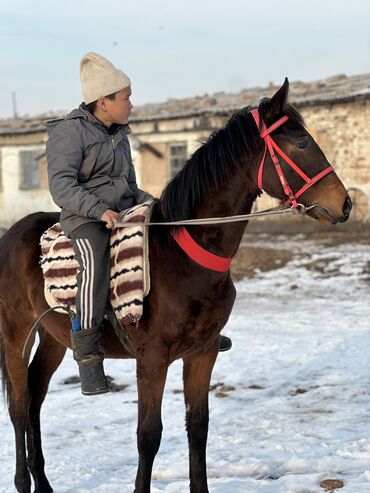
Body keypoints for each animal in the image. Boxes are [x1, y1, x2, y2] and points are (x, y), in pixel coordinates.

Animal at [0, 79, 352, 490]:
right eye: (301, 143)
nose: (345, 204)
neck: (184, 258)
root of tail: (12, 235)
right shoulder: (152, 360)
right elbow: (148, 436)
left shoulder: (203, 353)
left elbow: (198, 428)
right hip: (16, 336)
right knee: (20, 406)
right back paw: (23, 481)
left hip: (55, 338)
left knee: (36, 397)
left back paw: (43, 482)